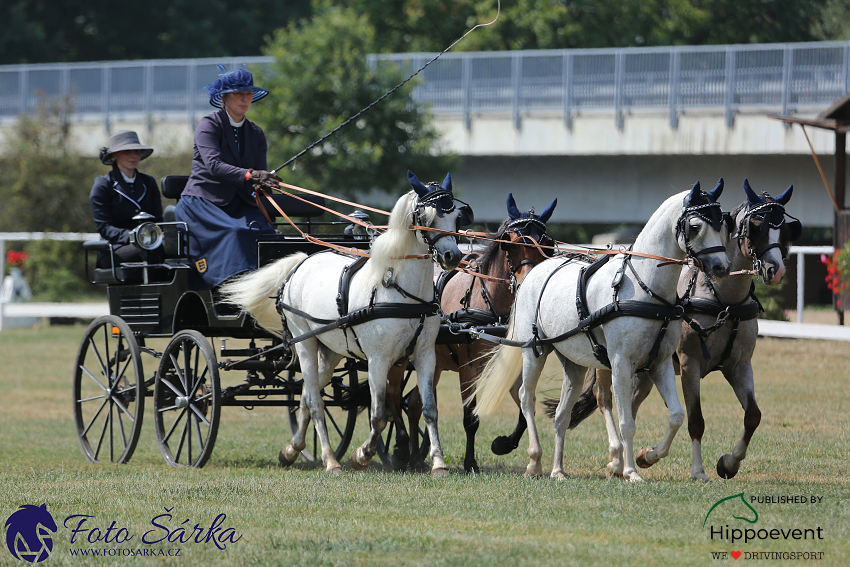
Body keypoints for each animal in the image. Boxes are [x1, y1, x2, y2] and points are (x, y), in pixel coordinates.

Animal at [222, 172, 468, 474]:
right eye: (427, 217)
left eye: (456, 217)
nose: (452, 257)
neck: (399, 289)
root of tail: (301, 262)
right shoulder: (378, 360)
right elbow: (379, 415)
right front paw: (361, 455)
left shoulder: (424, 356)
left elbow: (429, 410)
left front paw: (438, 463)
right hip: (305, 344)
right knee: (316, 401)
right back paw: (330, 459)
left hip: (330, 352)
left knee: (307, 394)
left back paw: (292, 450)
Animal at [384, 193, 556, 472]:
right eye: (510, 244)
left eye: (546, 245)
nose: (528, 283)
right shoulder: (468, 366)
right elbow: (470, 417)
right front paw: (470, 462)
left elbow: (523, 407)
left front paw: (502, 444)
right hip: (400, 357)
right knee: (393, 395)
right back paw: (400, 448)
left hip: (433, 363)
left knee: (414, 404)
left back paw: (416, 457)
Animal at [476, 184, 728, 482]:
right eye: (696, 225)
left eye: (722, 222)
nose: (722, 266)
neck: (644, 288)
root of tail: (534, 273)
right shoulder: (621, 363)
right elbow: (626, 422)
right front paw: (630, 471)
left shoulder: (661, 363)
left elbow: (676, 415)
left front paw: (648, 456)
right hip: (534, 351)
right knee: (527, 398)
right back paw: (535, 462)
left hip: (574, 364)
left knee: (561, 414)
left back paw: (558, 470)